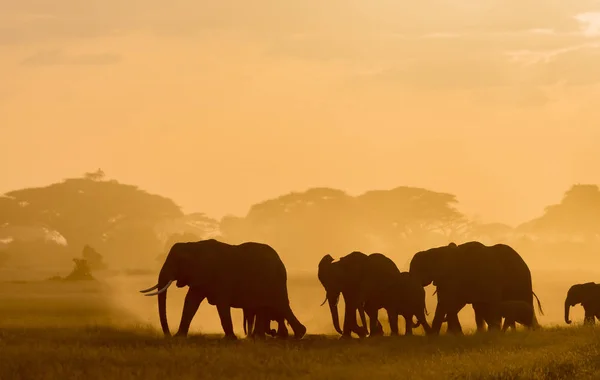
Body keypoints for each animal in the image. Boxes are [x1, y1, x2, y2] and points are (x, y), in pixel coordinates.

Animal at [139, 239, 308, 340]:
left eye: (179, 261)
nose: (167, 334)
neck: (194, 245)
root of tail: (280, 260)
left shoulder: (219, 277)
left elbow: (222, 305)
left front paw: (230, 339)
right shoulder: (201, 277)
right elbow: (191, 302)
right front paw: (179, 337)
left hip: (274, 281)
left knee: (280, 305)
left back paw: (296, 334)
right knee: (268, 307)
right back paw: (264, 338)